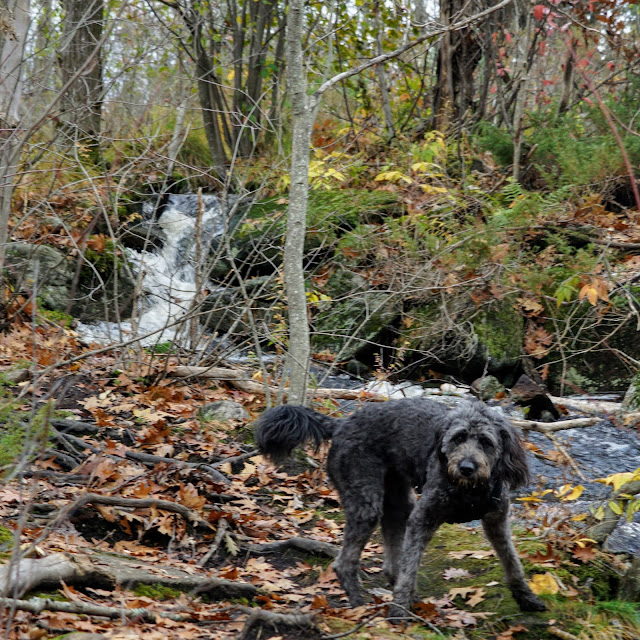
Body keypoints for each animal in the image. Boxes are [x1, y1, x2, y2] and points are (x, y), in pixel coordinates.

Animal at [255, 400, 544, 616]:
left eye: (485, 441)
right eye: (458, 438)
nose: (466, 467)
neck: (469, 490)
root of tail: (341, 423)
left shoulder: (497, 521)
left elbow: (512, 563)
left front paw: (527, 598)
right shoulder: (422, 519)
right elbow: (410, 567)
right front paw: (398, 612)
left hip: (399, 503)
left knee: (393, 564)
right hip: (367, 504)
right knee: (345, 563)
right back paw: (360, 606)